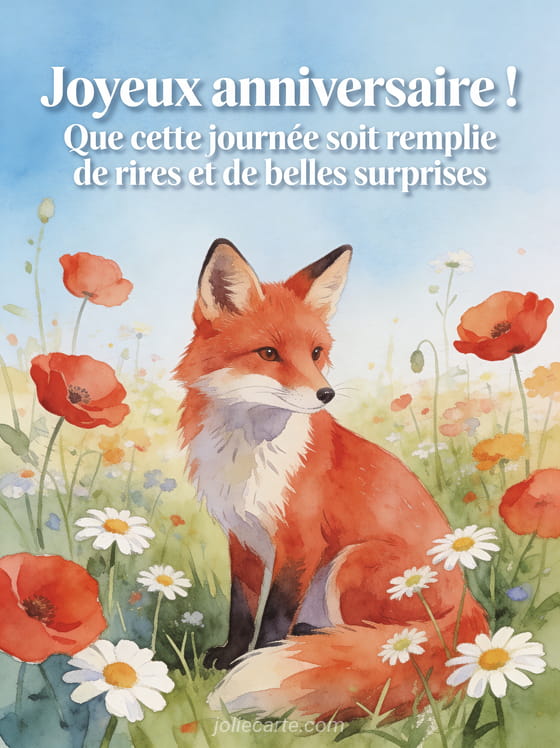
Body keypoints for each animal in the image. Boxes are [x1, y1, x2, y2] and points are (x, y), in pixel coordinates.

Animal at [175, 239, 488, 722]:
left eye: (316, 353)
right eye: (268, 354)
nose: (326, 394)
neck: (247, 454)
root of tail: (469, 608)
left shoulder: (300, 542)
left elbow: (272, 619)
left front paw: (256, 658)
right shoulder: (241, 538)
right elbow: (241, 610)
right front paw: (229, 658)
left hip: (353, 563)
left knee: (388, 642)